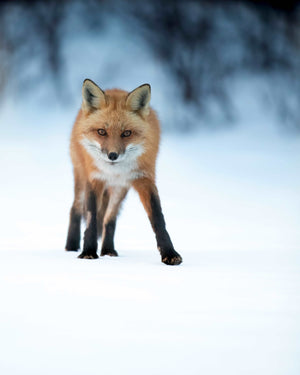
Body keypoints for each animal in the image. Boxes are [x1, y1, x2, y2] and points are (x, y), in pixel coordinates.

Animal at [65, 80, 183, 266]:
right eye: (101, 132)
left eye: (126, 133)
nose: (112, 155)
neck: (115, 172)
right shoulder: (95, 179)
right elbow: (91, 218)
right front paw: (88, 252)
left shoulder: (144, 178)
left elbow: (158, 218)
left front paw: (169, 253)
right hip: (81, 178)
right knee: (75, 209)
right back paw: (71, 247)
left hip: (119, 190)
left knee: (109, 219)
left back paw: (108, 250)